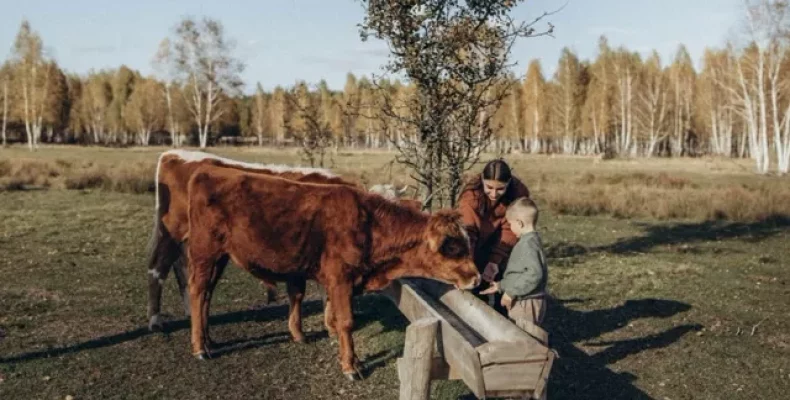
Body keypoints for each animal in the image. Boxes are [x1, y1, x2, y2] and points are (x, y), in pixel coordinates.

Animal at [187, 165, 482, 378]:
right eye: (452, 247)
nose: (476, 278)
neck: (369, 225)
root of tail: (207, 171)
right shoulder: (340, 278)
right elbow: (346, 322)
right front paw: (351, 366)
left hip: (220, 257)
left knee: (208, 294)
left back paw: (209, 340)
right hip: (205, 252)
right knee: (198, 292)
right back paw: (200, 348)